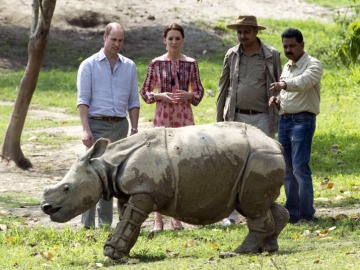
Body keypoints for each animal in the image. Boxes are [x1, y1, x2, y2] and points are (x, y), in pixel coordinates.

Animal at [41, 122, 290, 260]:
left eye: (66, 188)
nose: (45, 207)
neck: (104, 165)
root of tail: (275, 144)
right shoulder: (133, 192)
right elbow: (128, 222)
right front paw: (124, 253)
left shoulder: (145, 192)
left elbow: (129, 221)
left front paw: (111, 254)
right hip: (259, 160)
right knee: (263, 205)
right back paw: (268, 249)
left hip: (260, 157)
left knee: (252, 208)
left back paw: (238, 252)